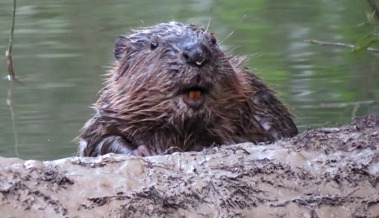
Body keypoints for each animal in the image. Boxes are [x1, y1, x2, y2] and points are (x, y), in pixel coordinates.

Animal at [78, 21, 300, 157]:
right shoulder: (108, 115)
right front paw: (142, 151)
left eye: (213, 41)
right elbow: (98, 142)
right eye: (153, 44)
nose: (197, 54)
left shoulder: (259, 104)